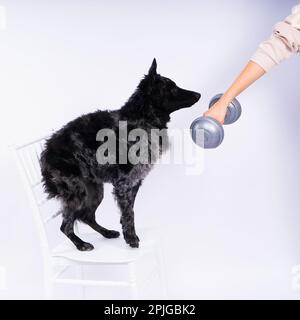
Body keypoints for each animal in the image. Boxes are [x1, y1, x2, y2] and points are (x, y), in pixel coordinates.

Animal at [39, 59, 199, 250]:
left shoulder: (135, 181)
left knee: (87, 216)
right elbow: (129, 213)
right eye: (172, 87)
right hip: (77, 192)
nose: (198, 94)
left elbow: (128, 212)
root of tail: (46, 152)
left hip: (95, 190)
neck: (141, 118)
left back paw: (107, 233)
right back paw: (81, 244)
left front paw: (127, 234)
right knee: (66, 225)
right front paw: (131, 238)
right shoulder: (123, 183)